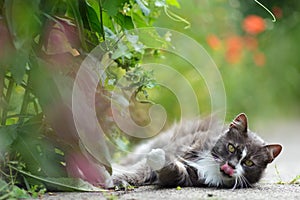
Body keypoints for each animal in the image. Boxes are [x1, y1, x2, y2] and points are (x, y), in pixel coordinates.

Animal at [111, 113, 282, 188]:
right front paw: (117, 178)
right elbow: (140, 170)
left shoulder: (188, 177)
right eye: (231, 147)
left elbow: (172, 173)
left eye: (249, 163)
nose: (231, 165)